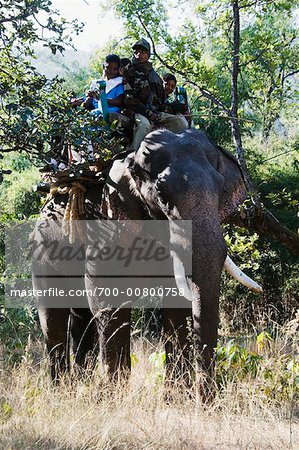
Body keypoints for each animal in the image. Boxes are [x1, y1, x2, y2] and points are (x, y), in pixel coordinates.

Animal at [31, 128, 298, 396]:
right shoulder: (108, 223)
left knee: (80, 316)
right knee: (53, 316)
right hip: (42, 249)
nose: (205, 401)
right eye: (161, 193)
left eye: (222, 189)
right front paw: (116, 397)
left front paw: (176, 397)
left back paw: (79, 384)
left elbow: (175, 304)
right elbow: (107, 300)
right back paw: (61, 389)